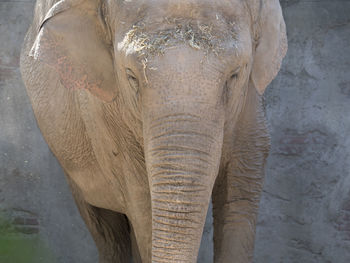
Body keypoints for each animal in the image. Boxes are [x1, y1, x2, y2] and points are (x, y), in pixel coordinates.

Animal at [19, 0, 288, 262]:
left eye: (235, 75)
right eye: (131, 77)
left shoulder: (251, 113)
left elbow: (238, 201)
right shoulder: (109, 123)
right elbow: (143, 207)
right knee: (106, 229)